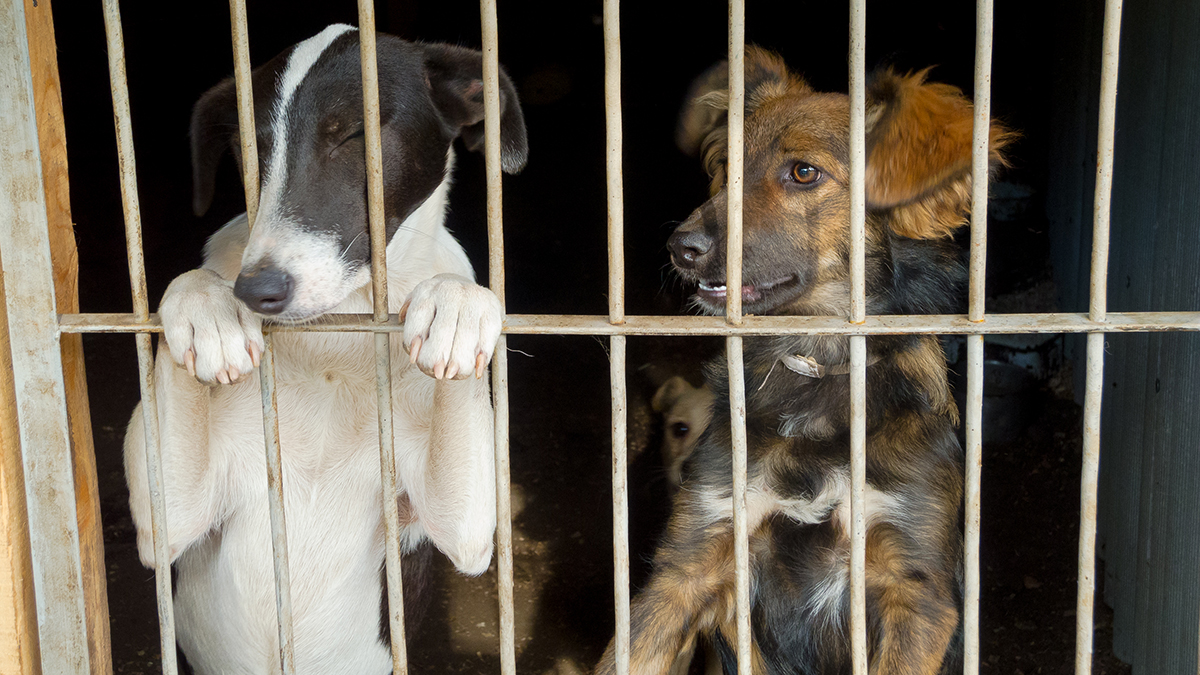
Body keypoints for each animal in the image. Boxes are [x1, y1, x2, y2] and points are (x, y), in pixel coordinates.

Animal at [124, 26, 528, 672]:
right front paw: (205, 307)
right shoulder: (173, 517)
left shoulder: (462, 526)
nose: (256, 291)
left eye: (355, 134)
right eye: (248, 149)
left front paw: (458, 306)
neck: (336, 335)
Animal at [595, 48, 1008, 672]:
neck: (813, 364)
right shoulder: (690, 562)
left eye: (804, 173)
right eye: (725, 167)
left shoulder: (917, 592)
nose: (681, 249)